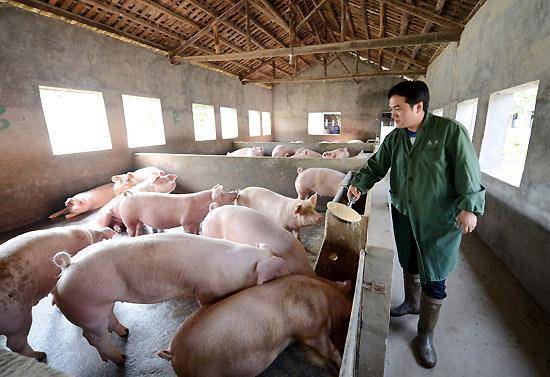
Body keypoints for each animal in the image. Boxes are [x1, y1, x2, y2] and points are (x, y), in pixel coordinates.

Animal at [52, 232, 294, 364]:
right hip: (87, 308)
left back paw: (125, 332)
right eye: (277, 272)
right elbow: (206, 301)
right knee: (93, 337)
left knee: (108, 320)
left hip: (102, 304)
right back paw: (121, 359)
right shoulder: (206, 289)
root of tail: (68, 266)